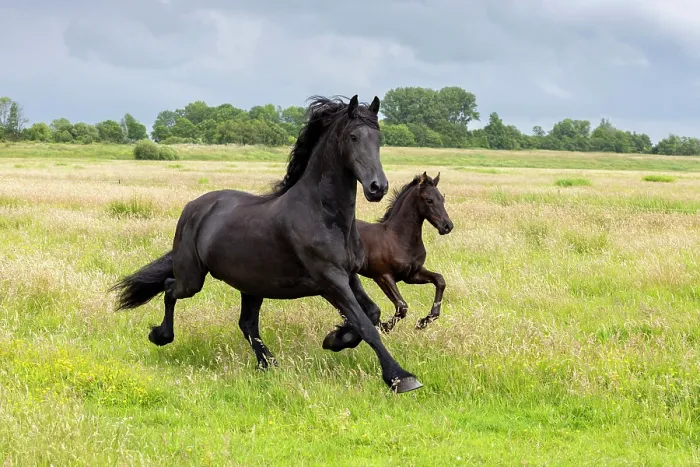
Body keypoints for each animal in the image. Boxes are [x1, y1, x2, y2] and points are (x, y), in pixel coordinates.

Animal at [109, 95, 423, 394]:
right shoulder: (329, 280)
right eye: (353, 137)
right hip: (193, 278)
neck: (324, 216)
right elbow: (365, 324)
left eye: (379, 139)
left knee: (246, 323)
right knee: (169, 288)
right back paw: (161, 336)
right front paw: (401, 378)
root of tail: (194, 207)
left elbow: (371, 314)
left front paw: (335, 339)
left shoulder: (349, 275)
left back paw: (267, 364)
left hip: (251, 284)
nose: (377, 187)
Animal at [354, 172, 453, 333]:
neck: (398, 238)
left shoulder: (411, 275)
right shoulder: (382, 276)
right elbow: (402, 306)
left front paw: (424, 321)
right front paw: (383, 327)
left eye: (442, 199)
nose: (447, 226)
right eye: (429, 200)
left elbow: (440, 280)